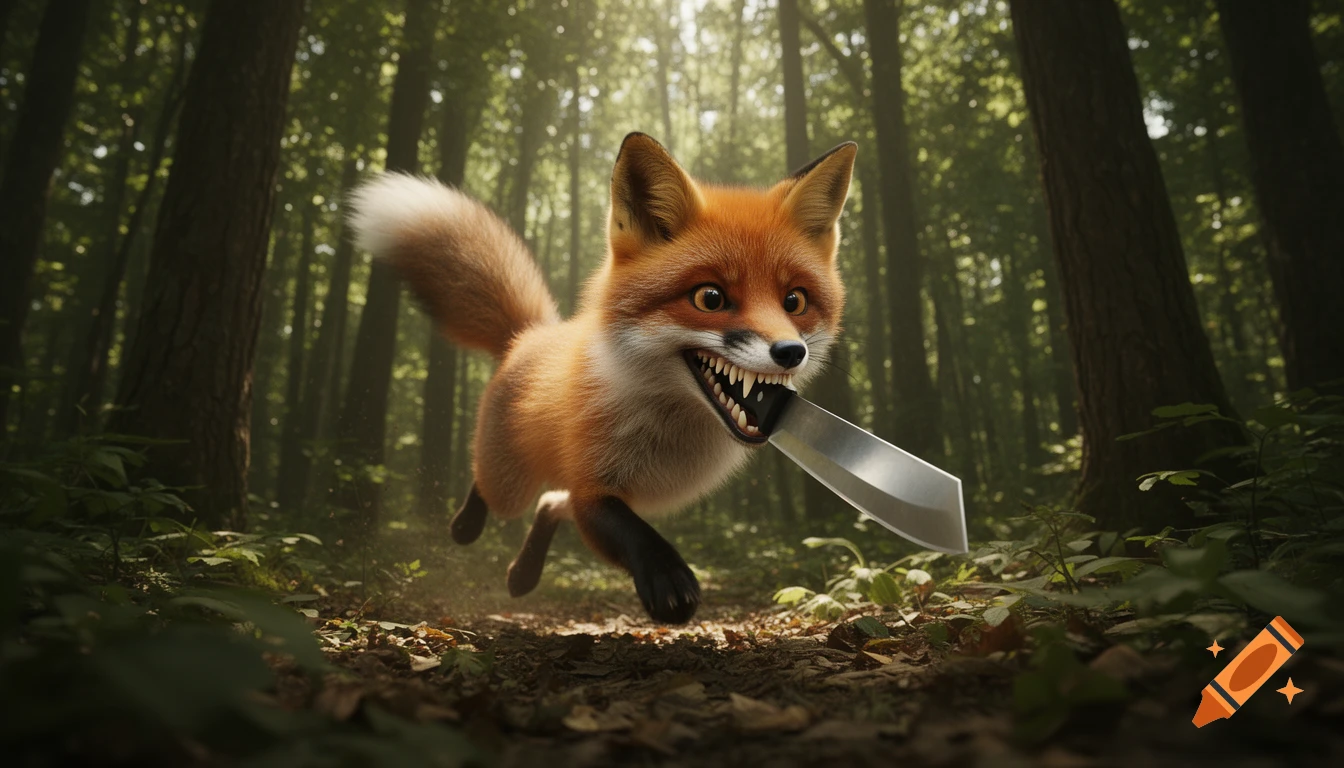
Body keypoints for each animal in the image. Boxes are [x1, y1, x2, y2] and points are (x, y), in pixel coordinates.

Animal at [349, 132, 855, 624]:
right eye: (710, 298)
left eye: (794, 301)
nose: (790, 352)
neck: (670, 428)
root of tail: (529, 335)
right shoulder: (593, 481)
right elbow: (627, 528)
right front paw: (666, 578)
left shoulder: (613, 491)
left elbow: (579, 509)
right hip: (508, 483)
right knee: (497, 488)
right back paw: (465, 526)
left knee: (551, 501)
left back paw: (522, 575)